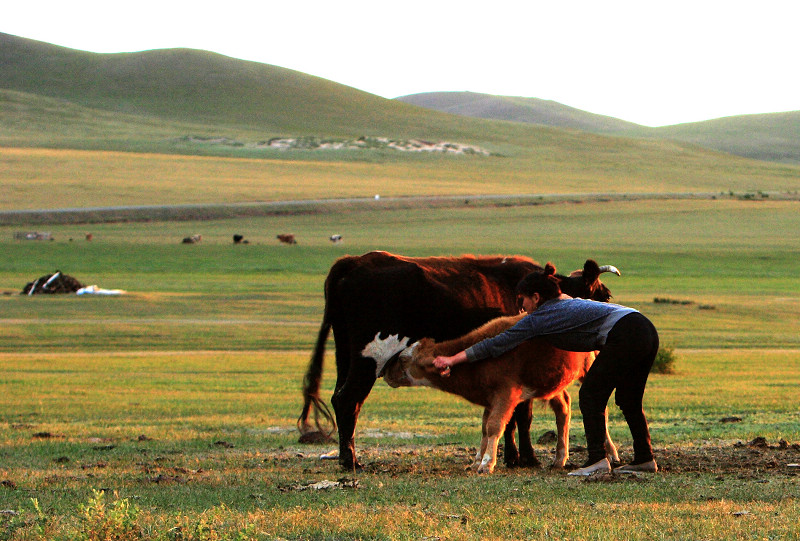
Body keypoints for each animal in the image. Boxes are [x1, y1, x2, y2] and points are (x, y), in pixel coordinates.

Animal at [362, 314, 620, 470]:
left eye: (404, 359)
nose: (385, 373)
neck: (476, 363)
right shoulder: (489, 399)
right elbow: (485, 427)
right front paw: (477, 459)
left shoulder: (506, 395)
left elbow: (495, 425)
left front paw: (487, 462)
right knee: (563, 408)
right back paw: (559, 457)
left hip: (589, 367)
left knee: (601, 409)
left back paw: (611, 452)